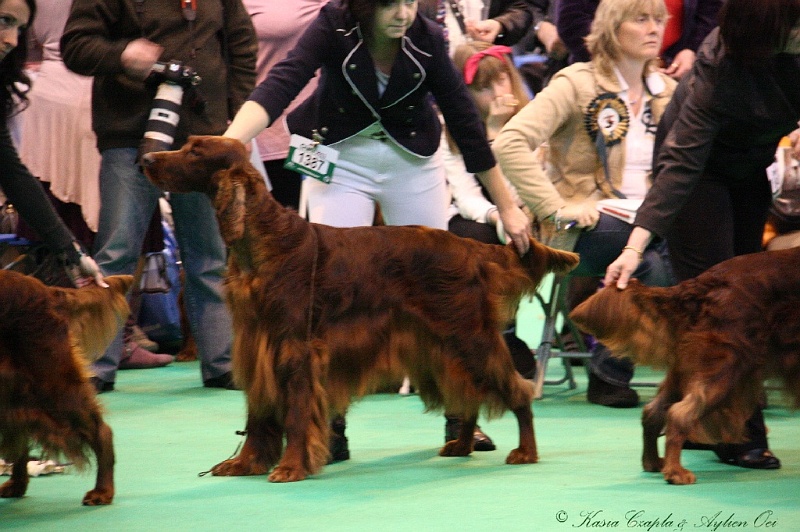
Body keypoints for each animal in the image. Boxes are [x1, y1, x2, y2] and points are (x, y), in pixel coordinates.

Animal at [144, 136, 580, 482]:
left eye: (195, 150)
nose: (146, 157)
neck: (263, 242)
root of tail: (471, 247)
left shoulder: (295, 348)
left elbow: (297, 412)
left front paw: (290, 466)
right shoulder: (256, 347)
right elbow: (258, 412)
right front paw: (246, 463)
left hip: (469, 337)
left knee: (517, 390)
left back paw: (525, 451)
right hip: (439, 346)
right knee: (467, 391)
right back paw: (461, 443)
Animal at [568, 247, 800, 484]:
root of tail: (705, 282)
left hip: (688, 366)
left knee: (653, 411)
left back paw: (654, 463)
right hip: (731, 363)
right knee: (679, 414)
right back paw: (676, 473)